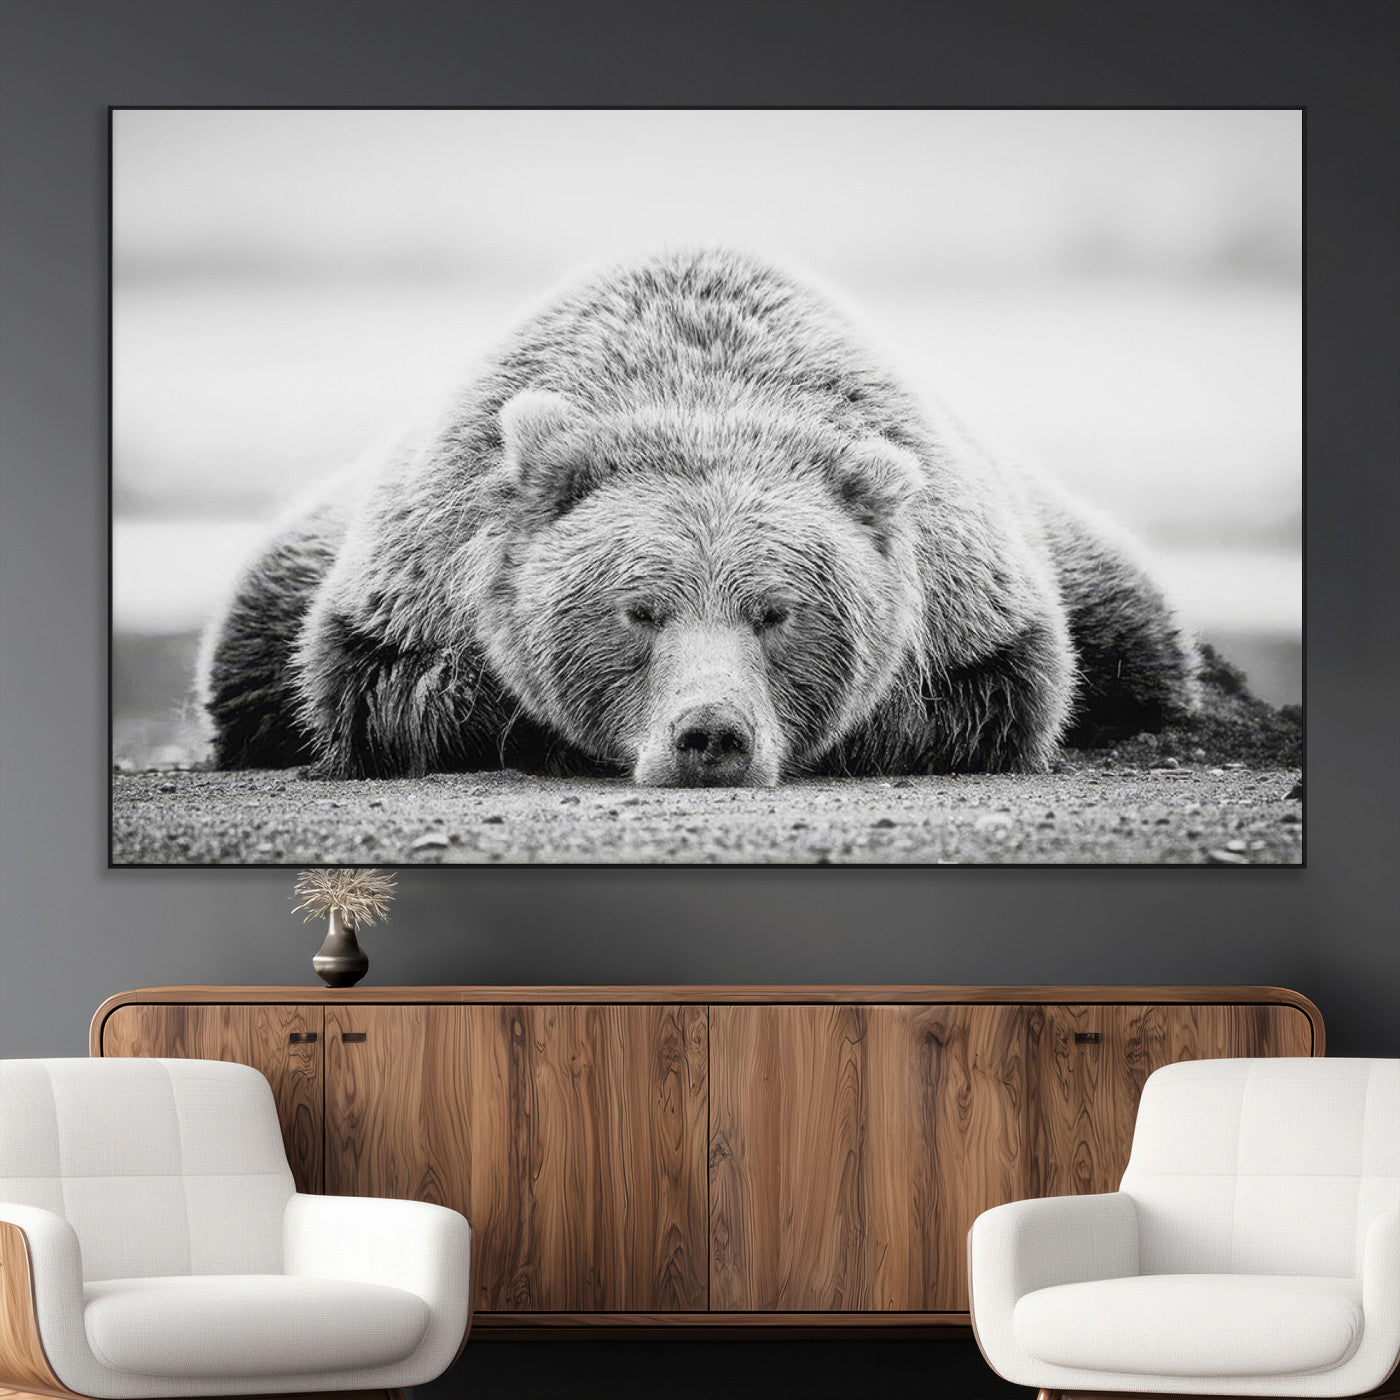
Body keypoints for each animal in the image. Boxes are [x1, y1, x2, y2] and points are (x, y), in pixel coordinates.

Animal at [200, 247, 1197, 786]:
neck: (701, 392)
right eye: (639, 610)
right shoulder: (415, 579)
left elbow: (998, 696)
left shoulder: (971, 602)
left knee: (1138, 636)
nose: (711, 733)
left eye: (778, 612)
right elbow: (386, 690)